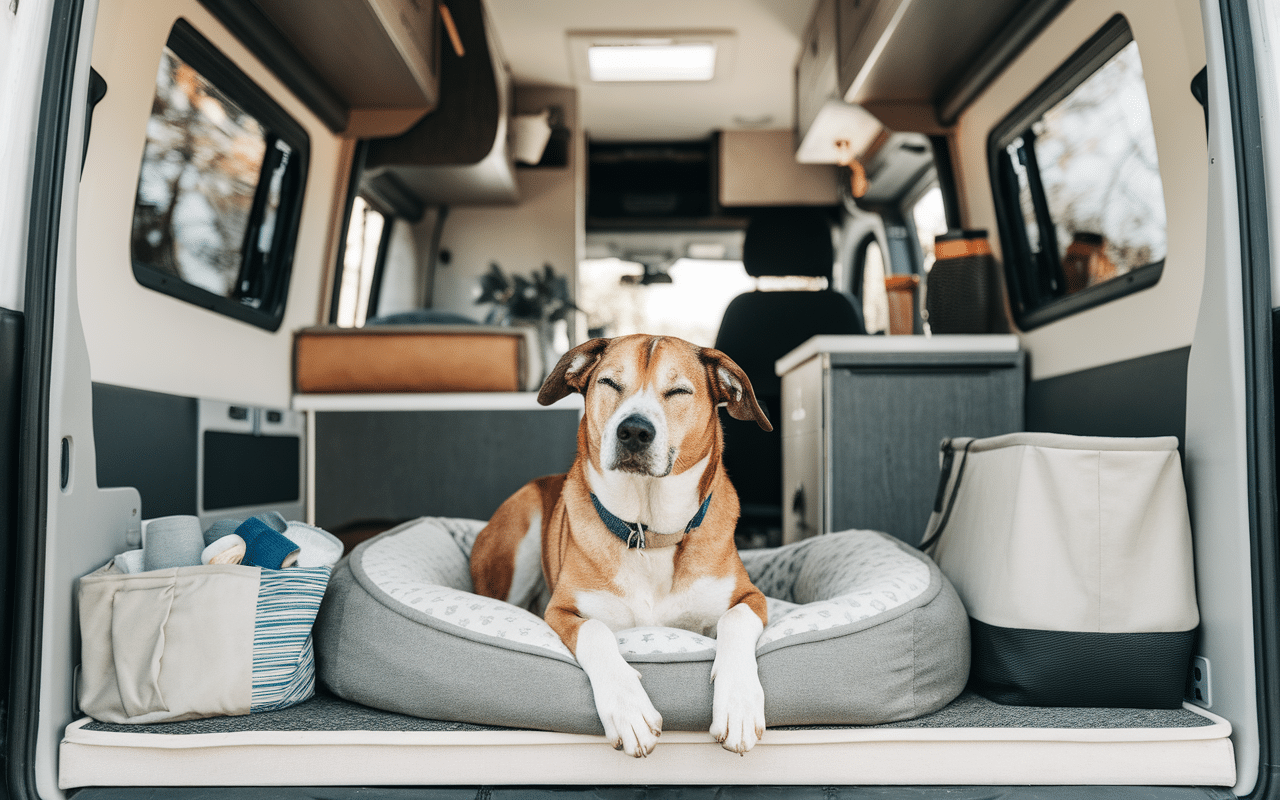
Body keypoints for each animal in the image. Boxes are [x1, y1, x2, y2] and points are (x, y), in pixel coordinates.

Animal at [471, 332, 768, 757]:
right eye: (609, 383)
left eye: (678, 391)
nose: (634, 431)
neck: (647, 533)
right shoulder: (560, 611)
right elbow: (596, 632)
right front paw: (629, 711)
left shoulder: (752, 597)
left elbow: (736, 619)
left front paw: (739, 704)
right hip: (523, 524)